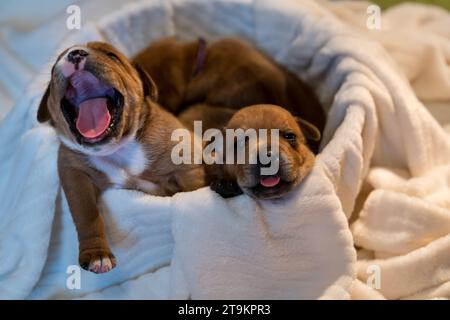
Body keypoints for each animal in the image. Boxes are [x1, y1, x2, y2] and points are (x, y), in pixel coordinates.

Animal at [37, 42, 207, 272]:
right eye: (55, 65)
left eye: (112, 56)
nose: (75, 53)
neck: (117, 148)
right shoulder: (74, 173)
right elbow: (87, 213)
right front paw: (97, 254)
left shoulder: (187, 166)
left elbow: (193, 191)